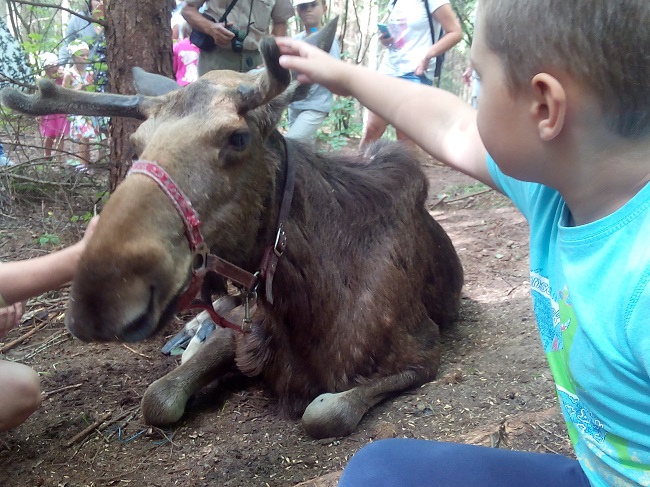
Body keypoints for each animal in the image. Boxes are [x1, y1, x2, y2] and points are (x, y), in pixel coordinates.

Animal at [2, 22, 464, 440]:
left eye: (238, 138)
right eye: (136, 145)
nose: (99, 299)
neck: (305, 304)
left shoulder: (424, 348)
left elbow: (324, 412)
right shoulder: (239, 334)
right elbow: (157, 398)